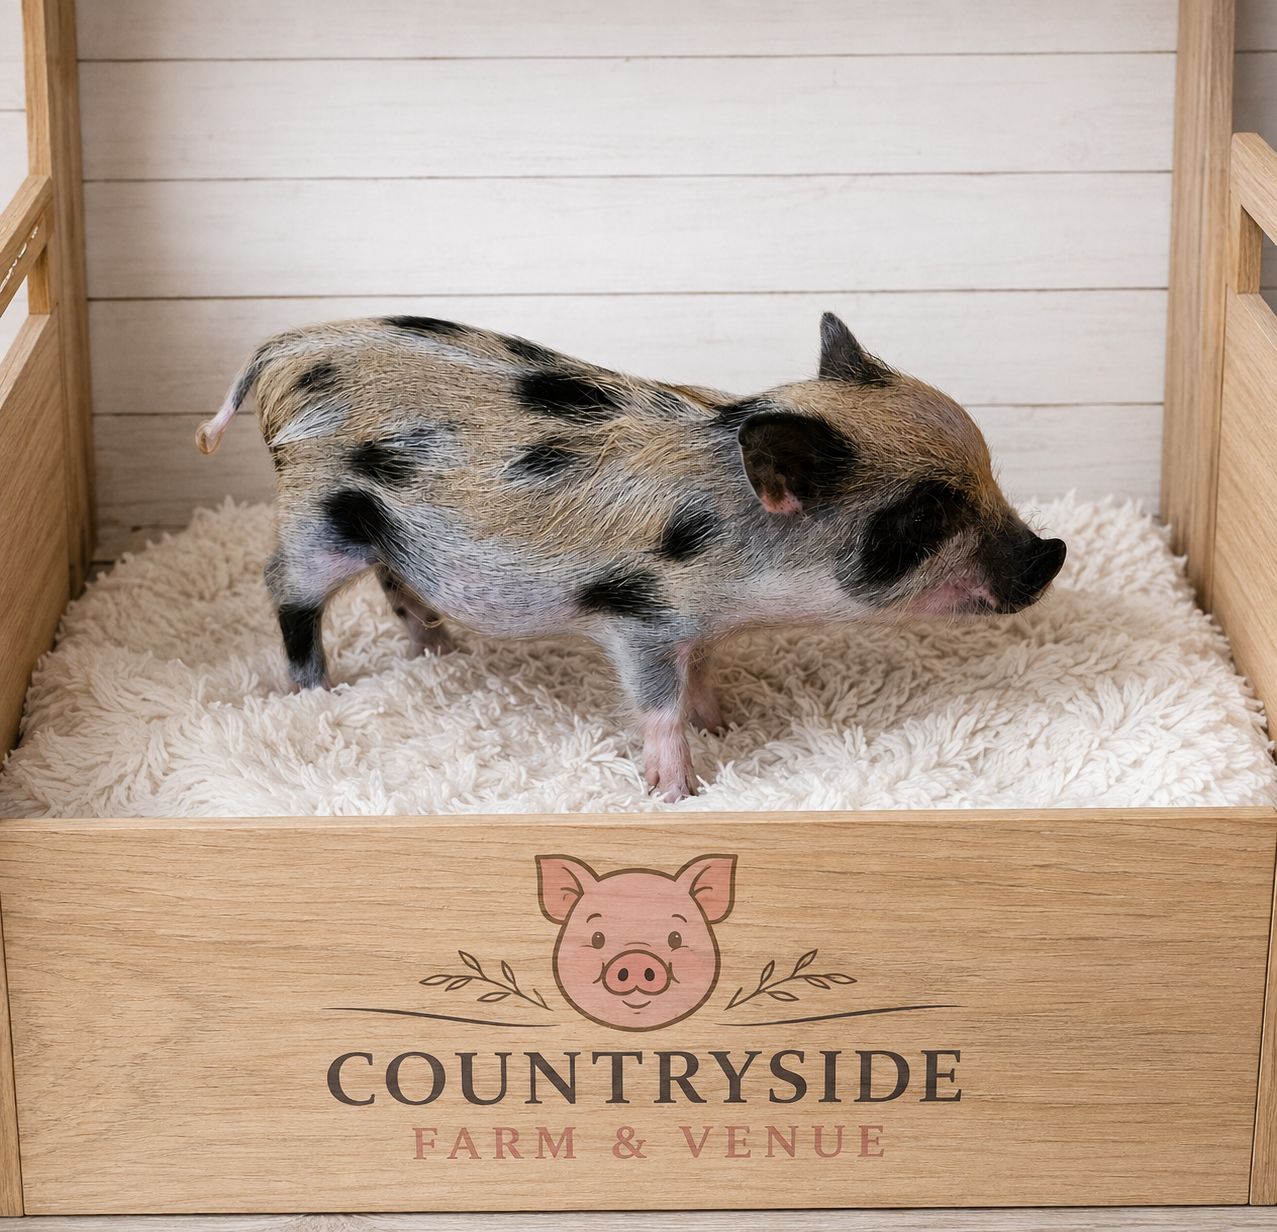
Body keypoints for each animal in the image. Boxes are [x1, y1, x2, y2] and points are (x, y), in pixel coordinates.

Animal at [196, 312, 1066, 801]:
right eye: (923, 516)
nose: (1052, 554)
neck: (742, 559)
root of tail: (283, 350)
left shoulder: (700, 626)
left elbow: (701, 677)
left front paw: (727, 723)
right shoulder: (639, 614)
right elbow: (657, 704)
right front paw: (677, 791)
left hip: (383, 531)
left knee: (394, 582)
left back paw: (439, 650)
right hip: (318, 516)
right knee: (284, 588)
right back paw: (314, 691)